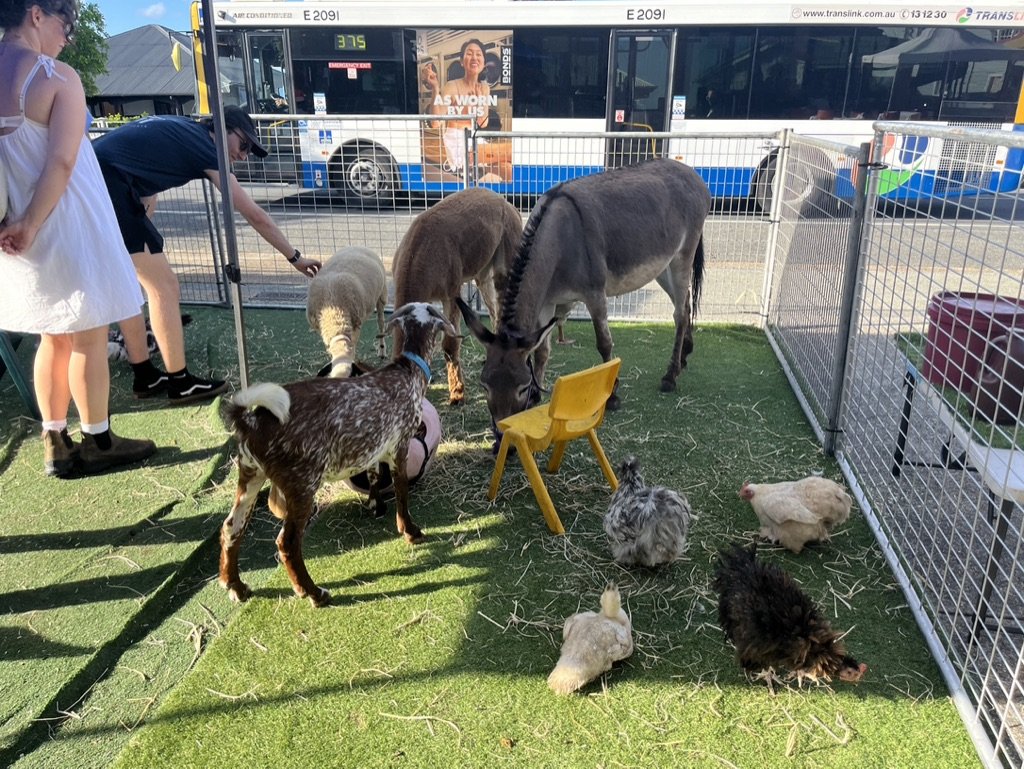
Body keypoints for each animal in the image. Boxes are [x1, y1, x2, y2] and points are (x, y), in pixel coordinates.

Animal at [218, 302, 456, 607]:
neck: (408, 371)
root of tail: (250, 421)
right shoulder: (400, 445)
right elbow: (402, 490)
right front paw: (410, 531)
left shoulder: (374, 448)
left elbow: (374, 476)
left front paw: (375, 505)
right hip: (301, 484)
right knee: (287, 542)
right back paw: (313, 593)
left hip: (250, 474)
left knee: (231, 527)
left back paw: (235, 586)